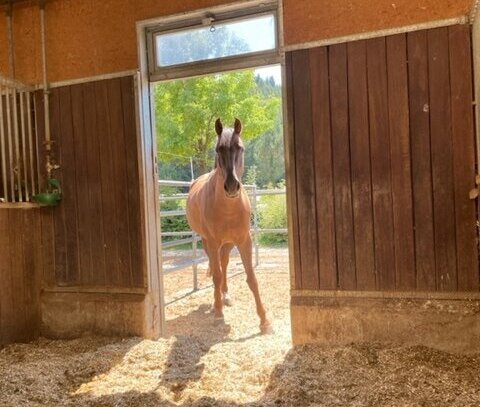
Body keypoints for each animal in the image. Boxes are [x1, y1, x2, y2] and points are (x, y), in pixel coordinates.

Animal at [186, 118, 272, 334]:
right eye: (218, 149)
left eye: (240, 147)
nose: (232, 186)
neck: (227, 208)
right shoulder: (213, 242)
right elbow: (216, 275)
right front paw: (218, 313)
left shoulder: (244, 241)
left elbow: (251, 278)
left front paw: (264, 320)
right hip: (208, 242)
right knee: (216, 267)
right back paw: (218, 301)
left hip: (228, 243)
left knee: (224, 263)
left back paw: (226, 295)